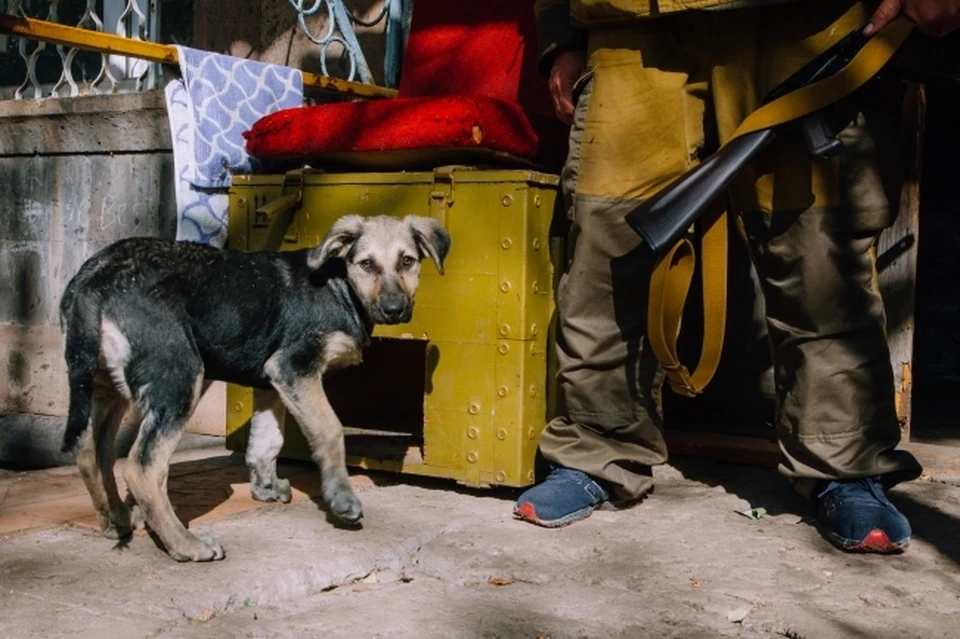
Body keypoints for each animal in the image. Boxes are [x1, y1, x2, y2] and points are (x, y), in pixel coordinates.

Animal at [59, 214, 450, 560]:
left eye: (407, 261)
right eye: (366, 264)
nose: (395, 309)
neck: (340, 287)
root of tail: (94, 277)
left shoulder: (273, 381)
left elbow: (266, 441)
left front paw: (266, 488)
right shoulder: (295, 366)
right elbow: (330, 429)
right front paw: (342, 499)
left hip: (104, 386)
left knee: (92, 452)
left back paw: (117, 520)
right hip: (179, 375)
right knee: (142, 468)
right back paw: (185, 545)